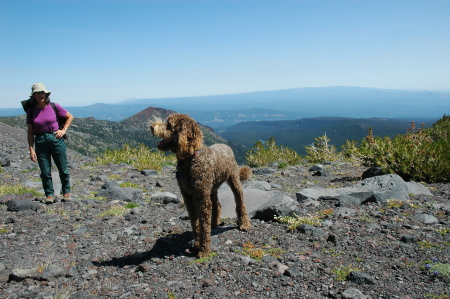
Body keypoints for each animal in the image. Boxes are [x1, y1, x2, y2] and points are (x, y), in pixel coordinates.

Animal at [150, 113, 250, 258]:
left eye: (169, 125)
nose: (152, 126)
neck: (190, 160)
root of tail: (226, 146)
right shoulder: (188, 196)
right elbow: (195, 222)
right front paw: (197, 243)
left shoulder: (201, 197)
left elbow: (203, 224)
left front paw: (204, 249)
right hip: (212, 188)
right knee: (217, 205)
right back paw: (214, 224)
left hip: (233, 180)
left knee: (240, 202)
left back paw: (244, 224)